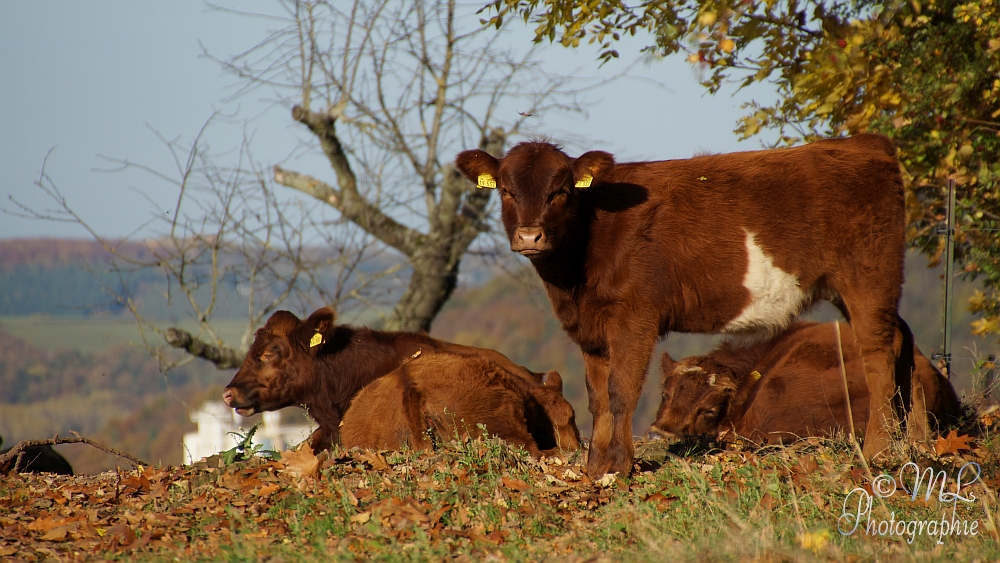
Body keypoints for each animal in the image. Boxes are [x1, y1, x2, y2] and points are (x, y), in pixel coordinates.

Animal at [458, 133, 912, 476]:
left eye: (561, 191)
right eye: (505, 191)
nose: (529, 236)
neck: (573, 281)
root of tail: (864, 143)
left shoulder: (634, 316)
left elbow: (620, 391)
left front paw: (618, 465)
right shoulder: (591, 326)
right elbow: (597, 396)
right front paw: (595, 466)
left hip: (868, 273)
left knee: (876, 352)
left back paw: (878, 449)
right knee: (899, 340)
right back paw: (914, 440)